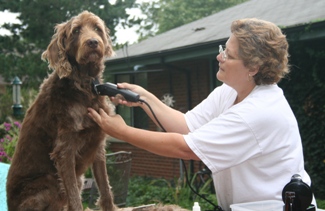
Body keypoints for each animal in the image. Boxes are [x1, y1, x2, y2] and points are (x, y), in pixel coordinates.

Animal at [6, 11, 117, 211]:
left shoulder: (97, 145)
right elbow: (75, 200)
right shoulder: (64, 150)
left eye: (97, 28)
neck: (85, 86)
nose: (93, 42)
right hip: (49, 182)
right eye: (76, 30)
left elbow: (105, 192)